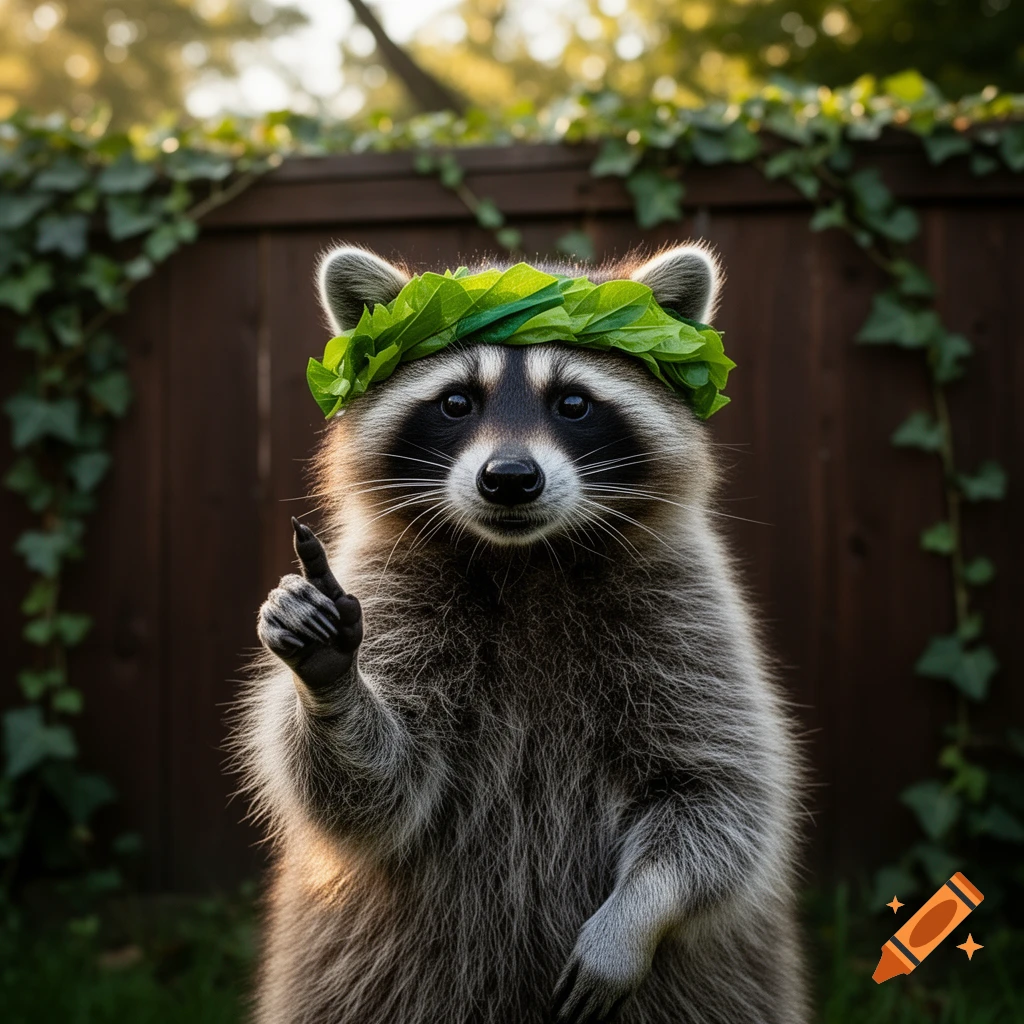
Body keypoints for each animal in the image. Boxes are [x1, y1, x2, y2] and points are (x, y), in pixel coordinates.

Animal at [236, 243, 808, 1024]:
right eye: (456, 402)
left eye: (573, 404)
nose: (509, 478)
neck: (526, 559)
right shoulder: (390, 588)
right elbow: (377, 795)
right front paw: (333, 683)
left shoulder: (688, 613)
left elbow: (719, 791)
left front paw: (638, 913)